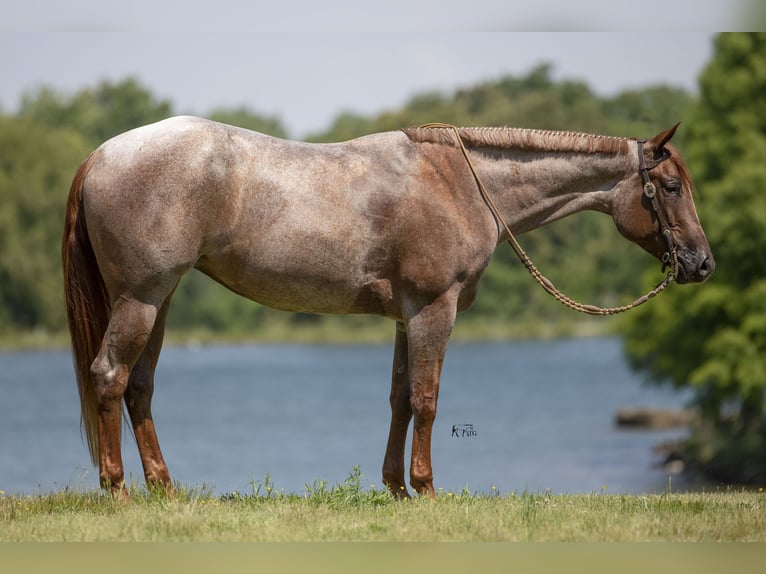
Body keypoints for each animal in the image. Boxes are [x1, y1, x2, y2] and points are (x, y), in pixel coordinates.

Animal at [63, 117, 716, 500]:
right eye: (672, 187)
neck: (459, 182)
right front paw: (426, 489)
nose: (701, 263)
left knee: (139, 386)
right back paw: (118, 491)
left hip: (159, 301)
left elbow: (401, 398)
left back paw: (164, 490)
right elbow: (427, 400)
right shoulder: (434, 309)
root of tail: (100, 154)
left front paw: (396, 489)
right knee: (110, 376)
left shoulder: (408, 316)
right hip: (142, 298)